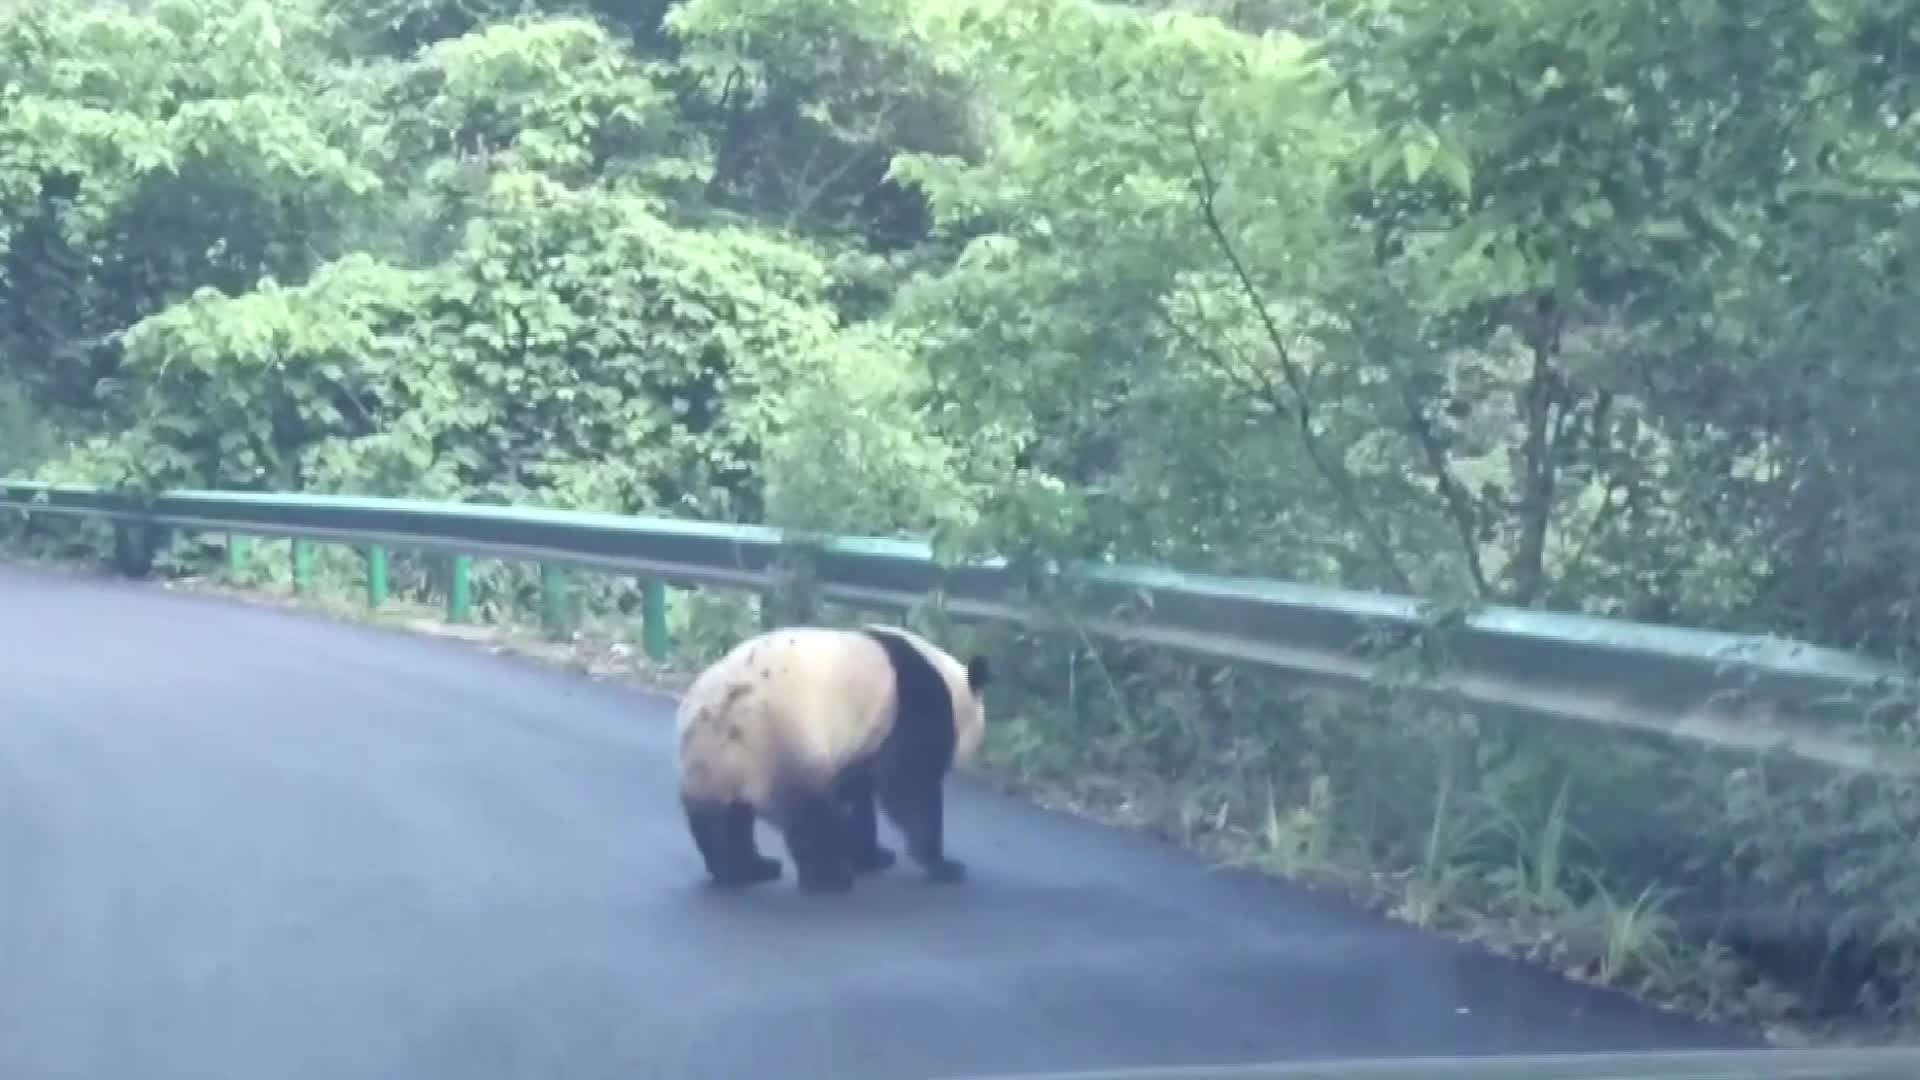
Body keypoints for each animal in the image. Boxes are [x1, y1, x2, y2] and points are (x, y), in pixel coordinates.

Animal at [673, 622, 992, 894]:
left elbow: (858, 789)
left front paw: (873, 855)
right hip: (779, 739)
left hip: (710, 758)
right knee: (809, 814)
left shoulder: (863, 737)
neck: (948, 679)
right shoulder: (914, 706)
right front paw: (943, 864)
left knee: (721, 819)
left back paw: (744, 870)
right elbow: (909, 786)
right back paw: (829, 877)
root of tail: (722, 712)